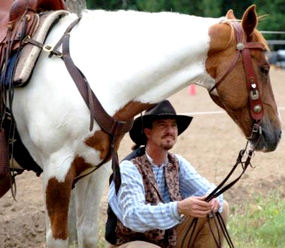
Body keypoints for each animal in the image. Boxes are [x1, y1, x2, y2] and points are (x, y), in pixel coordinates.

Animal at [4, 3, 282, 248]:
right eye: (264, 68)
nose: (276, 133)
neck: (92, 76)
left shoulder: (94, 170)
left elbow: (88, 234)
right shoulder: (57, 171)